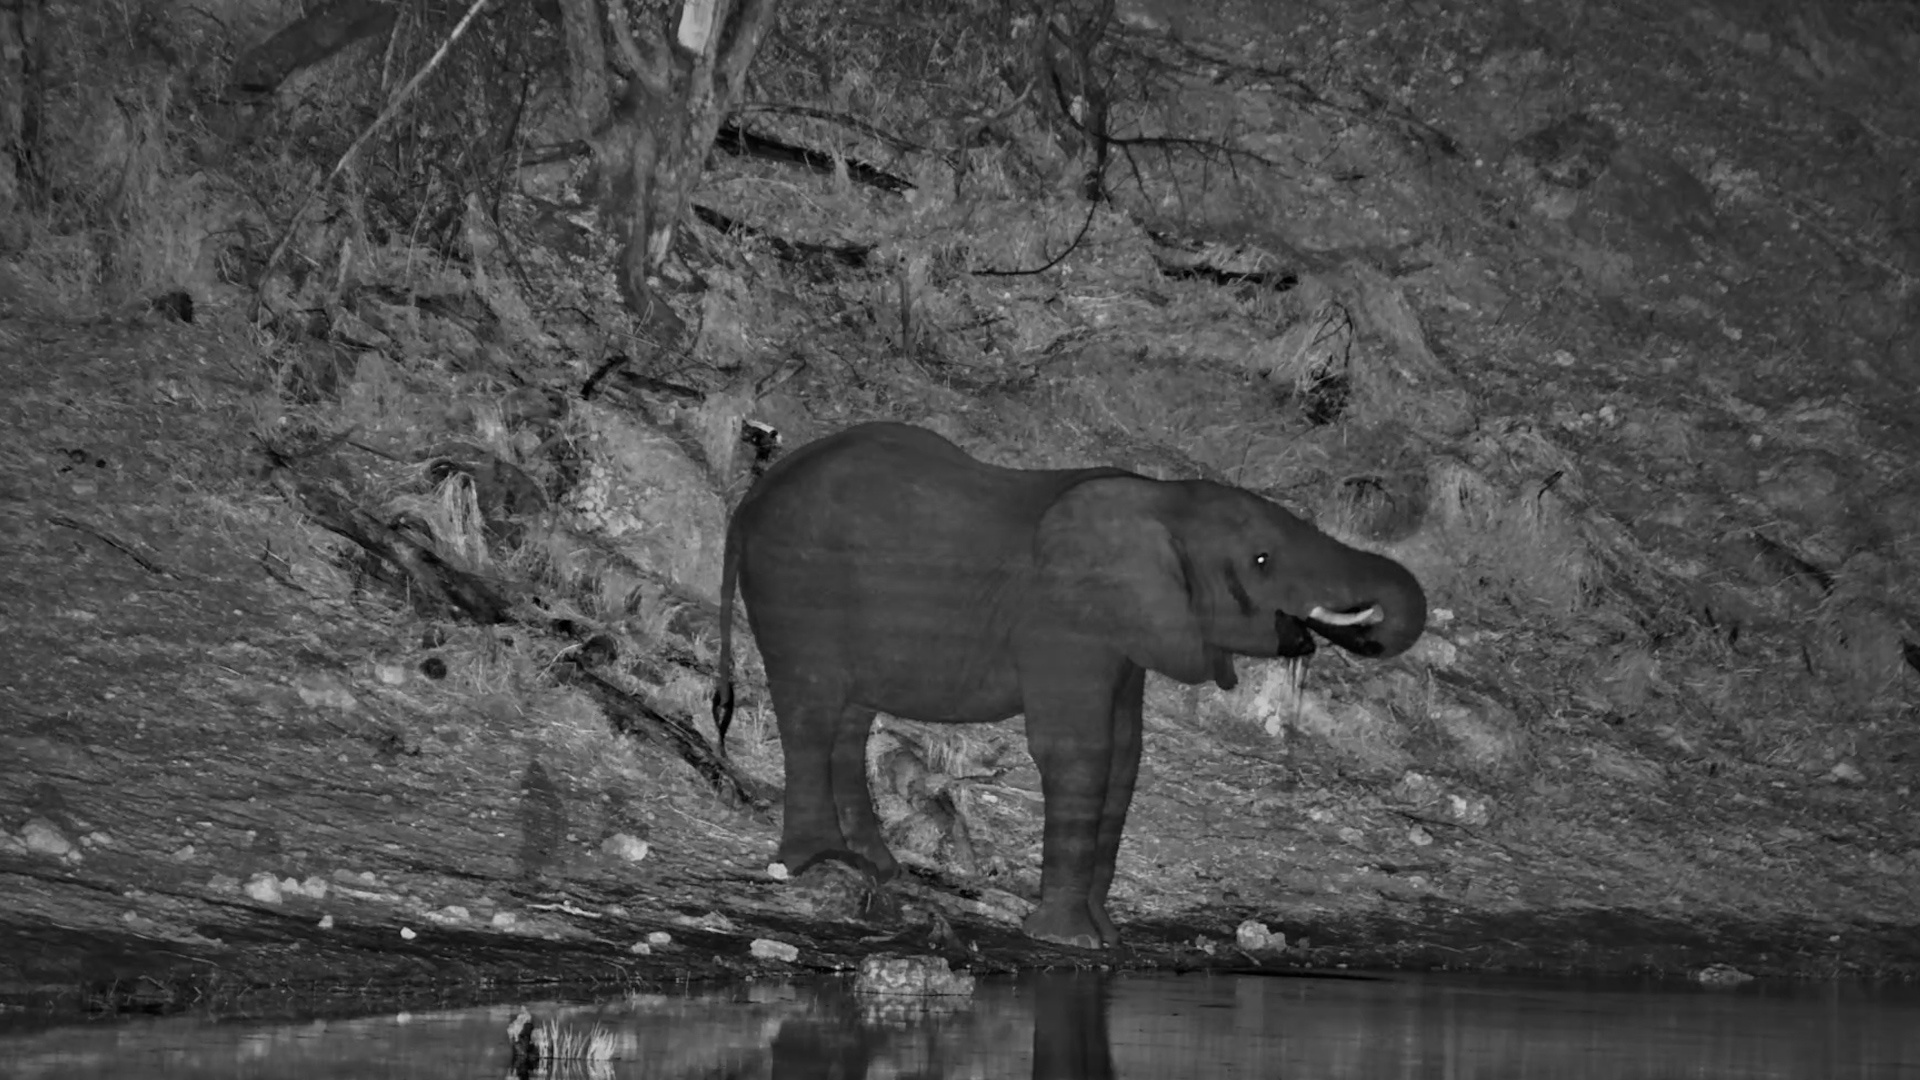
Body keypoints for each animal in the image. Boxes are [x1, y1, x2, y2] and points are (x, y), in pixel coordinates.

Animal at [711, 421, 1424, 949]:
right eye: (1261, 560)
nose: (1352, 634)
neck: (1160, 499)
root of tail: (748, 500)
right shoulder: (1061, 622)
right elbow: (1078, 751)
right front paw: (1068, 941)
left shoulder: (1124, 636)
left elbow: (1126, 755)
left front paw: (1104, 939)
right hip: (795, 584)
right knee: (811, 707)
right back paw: (814, 864)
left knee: (848, 719)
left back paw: (878, 870)